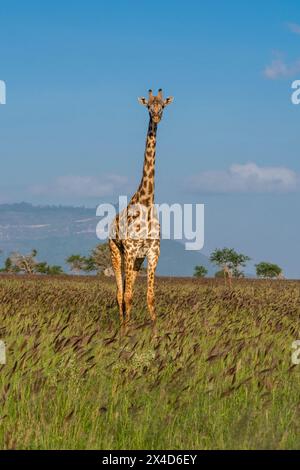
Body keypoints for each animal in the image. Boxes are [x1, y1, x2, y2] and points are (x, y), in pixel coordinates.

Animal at [108, 88, 173, 326]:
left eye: (162, 105)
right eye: (148, 106)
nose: (156, 117)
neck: (146, 201)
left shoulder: (153, 252)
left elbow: (150, 297)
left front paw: (155, 334)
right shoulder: (129, 249)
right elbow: (126, 296)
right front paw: (126, 333)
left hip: (136, 259)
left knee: (128, 292)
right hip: (116, 251)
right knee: (120, 294)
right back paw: (122, 327)